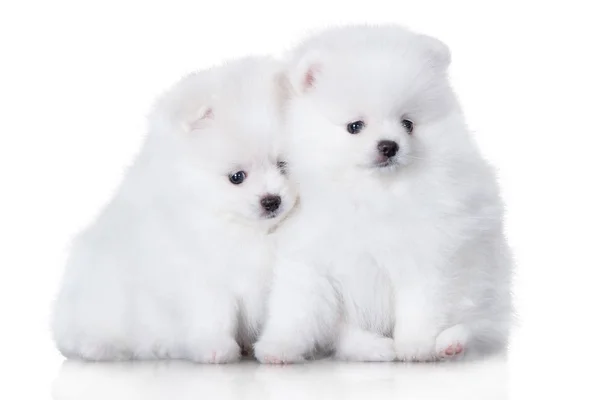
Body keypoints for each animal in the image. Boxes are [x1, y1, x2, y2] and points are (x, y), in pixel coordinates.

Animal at [51, 57, 298, 364]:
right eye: (237, 177)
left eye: (284, 165)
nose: (271, 200)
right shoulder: (197, 271)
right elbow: (213, 312)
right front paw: (214, 348)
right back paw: (99, 346)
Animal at [255, 25, 512, 362]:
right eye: (355, 126)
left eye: (408, 124)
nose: (389, 146)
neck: (372, 194)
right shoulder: (312, 258)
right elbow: (296, 308)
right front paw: (278, 348)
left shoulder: (426, 253)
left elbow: (421, 305)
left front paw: (415, 346)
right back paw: (374, 347)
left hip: (484, 282)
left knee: (478, 325)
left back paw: (450, 344)